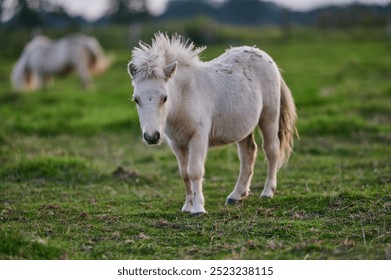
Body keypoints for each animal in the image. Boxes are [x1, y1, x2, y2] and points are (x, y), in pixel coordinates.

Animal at [128, 34, 298, 215]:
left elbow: (194, 171)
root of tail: (265, 56)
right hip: (243, 127)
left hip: (269, 116)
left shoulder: (198, 138)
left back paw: (267, 192)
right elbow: (184, 174)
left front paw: (198, 208)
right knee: (248, 153)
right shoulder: (177, 143)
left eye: (165, 97)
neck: (184, 96)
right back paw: (236, 195)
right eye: (136, 99)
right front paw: (187, 206)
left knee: (271, 150)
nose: (151, 136)